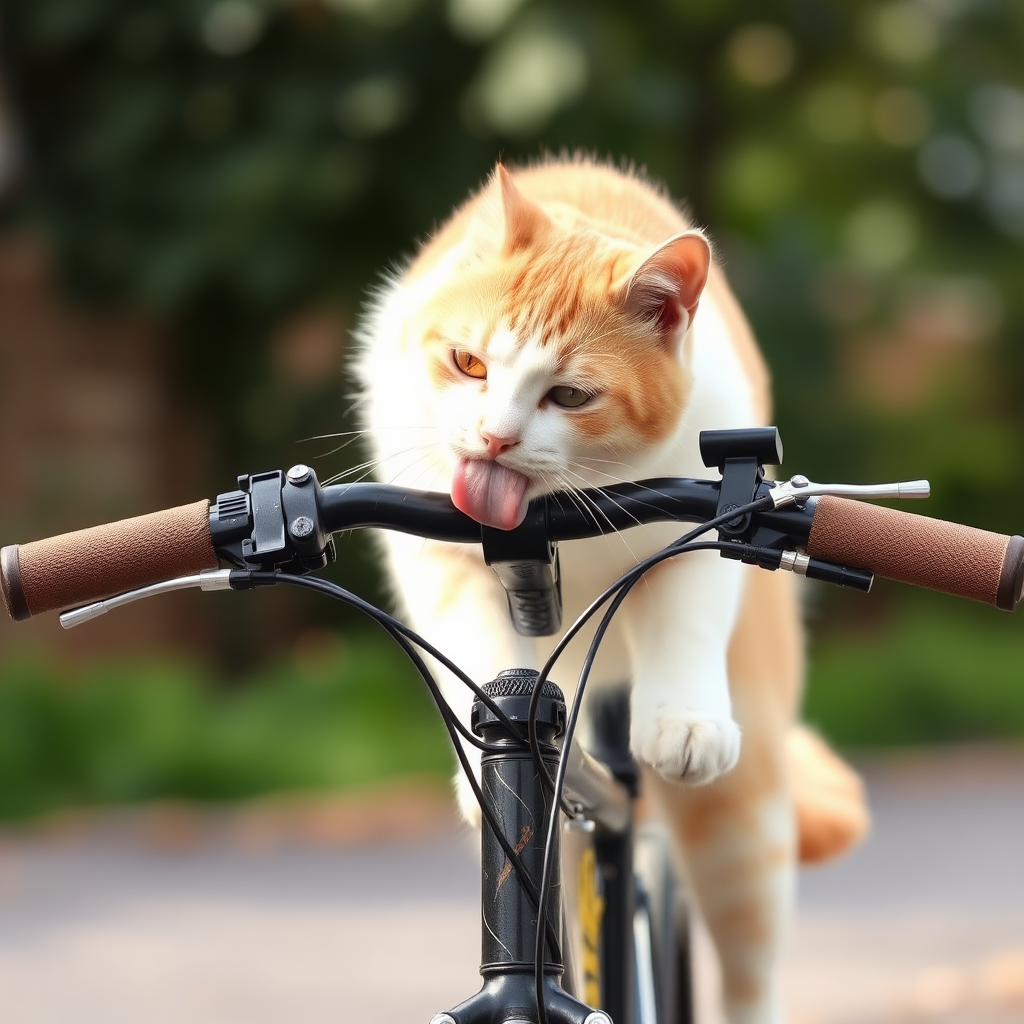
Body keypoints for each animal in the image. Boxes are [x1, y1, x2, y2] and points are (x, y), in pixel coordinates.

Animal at [352, 157, 864, 1024]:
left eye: (570, 396)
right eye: (468, 363)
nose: (493, 439)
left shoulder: (705, 518)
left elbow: (688, 610)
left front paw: (685, 721)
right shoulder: (439, 557)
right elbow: (478, 648)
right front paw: (486, 736)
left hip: (740, 829)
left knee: (749, 975)